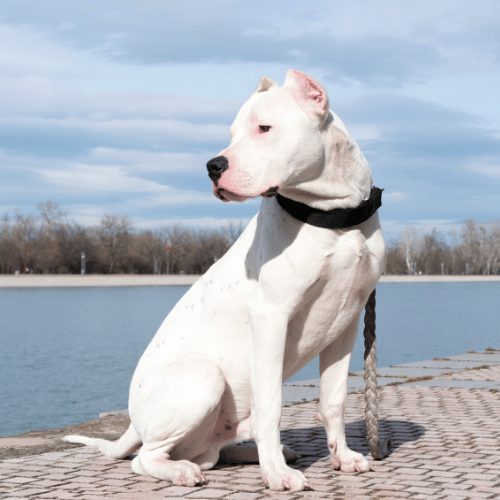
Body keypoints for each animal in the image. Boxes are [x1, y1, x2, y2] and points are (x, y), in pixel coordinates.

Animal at [65, 70, 386, 492]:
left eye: (264, 128)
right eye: (232, 133)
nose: (213, 165)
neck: (333, 217)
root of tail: (134, 423)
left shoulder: (346, 322)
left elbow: (333, 399)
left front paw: (343, 457)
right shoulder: (271, 316)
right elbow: (271, 406)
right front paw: (277, 475)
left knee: (211, 453)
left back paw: (259, 454)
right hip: (204, 378)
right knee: (146, 457)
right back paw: (187, 470)